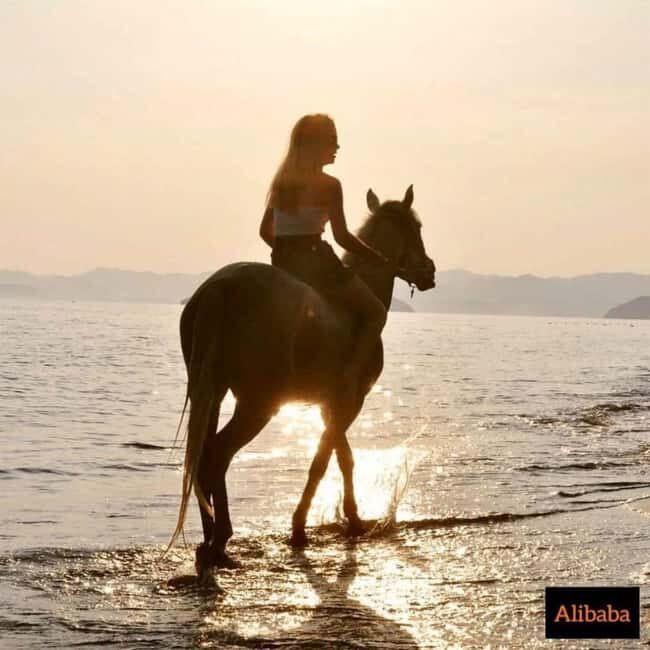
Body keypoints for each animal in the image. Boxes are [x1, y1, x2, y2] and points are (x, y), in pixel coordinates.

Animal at [169, 185, 436, 577]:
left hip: (212, 391)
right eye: (416, 229)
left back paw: (208, 538)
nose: (429, 270)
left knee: (203, 454)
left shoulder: (331, 403)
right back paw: (221, 538)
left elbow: (343, 456)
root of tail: (222, 288)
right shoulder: (351, 400)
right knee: (218, 453)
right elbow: (322, 460)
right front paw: (299, 527)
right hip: (258, 404)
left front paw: (353, 519)